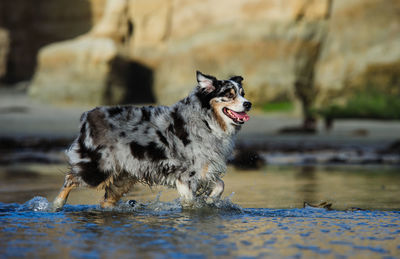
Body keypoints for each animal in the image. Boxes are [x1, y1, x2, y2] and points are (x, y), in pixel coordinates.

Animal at [51, 71, 252, 211]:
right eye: (229, 94)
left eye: (243, 93)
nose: (248, 103)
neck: (206, 121)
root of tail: (88, 115)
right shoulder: (185, 174)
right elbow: (189, 201)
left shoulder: (205, 169)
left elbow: (220, 185)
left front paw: (210, 200)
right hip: (97, 170)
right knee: (70, 179)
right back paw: (56, 205)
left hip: (123, 177)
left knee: (105, 201)